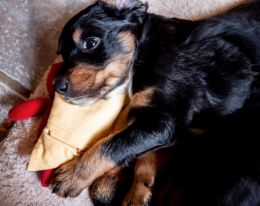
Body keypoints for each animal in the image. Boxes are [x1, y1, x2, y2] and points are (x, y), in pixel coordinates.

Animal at [51, 0, 260, 205]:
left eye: (90, 43)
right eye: (61, 53)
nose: (57, 86)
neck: (144, 52)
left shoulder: (163, 120)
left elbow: (115, 142)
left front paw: (73, 175)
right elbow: (138, 148)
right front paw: (132, 189)